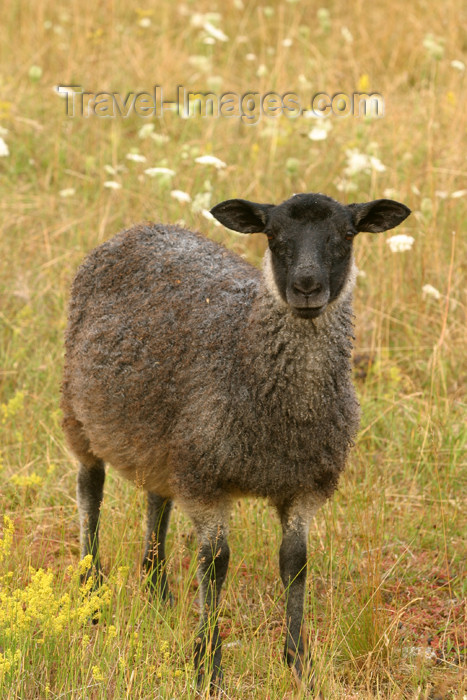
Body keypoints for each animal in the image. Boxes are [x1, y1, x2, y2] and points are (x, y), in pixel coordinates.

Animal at [61, 191, 410, 696]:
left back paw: (157, 591)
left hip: (167, 441)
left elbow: (295, 563)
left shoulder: (303, 487)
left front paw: (297, 663)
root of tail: (142, 228)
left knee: (157, 500)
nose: (307, 286)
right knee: (90, 488)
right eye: (273, 235)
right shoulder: (206, 480)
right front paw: (207, 667)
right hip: (80, 411)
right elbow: (215, 564)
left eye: (347, 235)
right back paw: (91, 590)